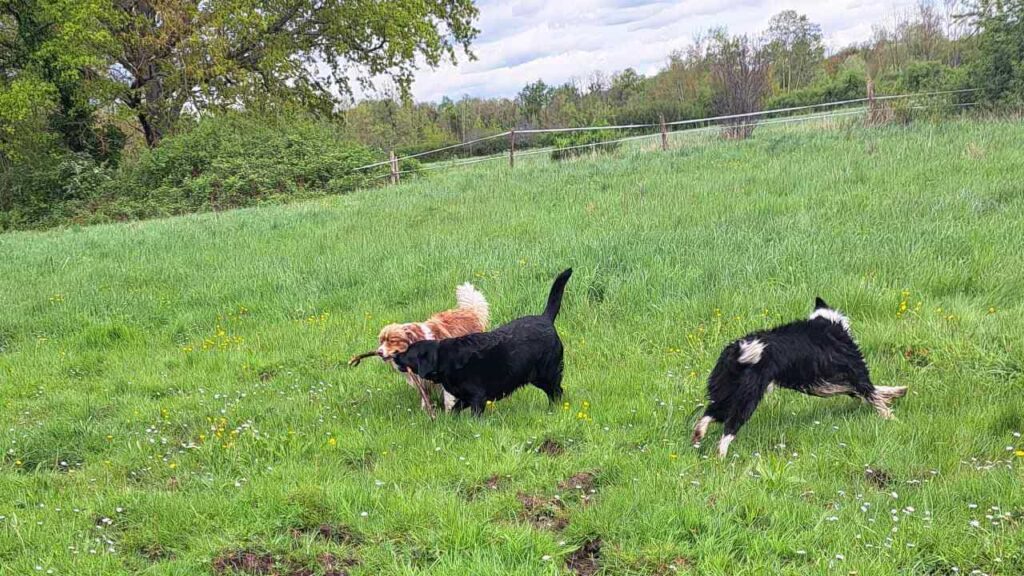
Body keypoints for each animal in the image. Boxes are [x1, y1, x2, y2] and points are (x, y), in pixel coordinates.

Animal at [376, 280, 487, 412]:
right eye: (381, 341)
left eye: (392, 341)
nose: (379, 352)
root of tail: (470, 311)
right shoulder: (422, 380)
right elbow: (425, 396)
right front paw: (425, 411)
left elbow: (447, 398)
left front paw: (449, 413)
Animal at [391, 266, 573, 414]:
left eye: (408, 352)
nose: (394, 356)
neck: (445, 358)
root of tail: (545, 318)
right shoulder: (464, 398)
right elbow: (454, 410)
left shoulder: (477, 397)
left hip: (547, 373)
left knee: (557, 392)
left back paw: (553, 410)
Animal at [696, 297, 905, 455]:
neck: (828, 323)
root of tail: (739, 351)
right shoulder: (856, 372)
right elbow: (873, 394)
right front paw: (893, 418)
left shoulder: (824, 384)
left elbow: (864, 391)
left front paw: (895, 393)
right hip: (747, 398)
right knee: (729, 427)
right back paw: (720, 456)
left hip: (726, 392)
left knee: (709, 414)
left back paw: (698, 435)